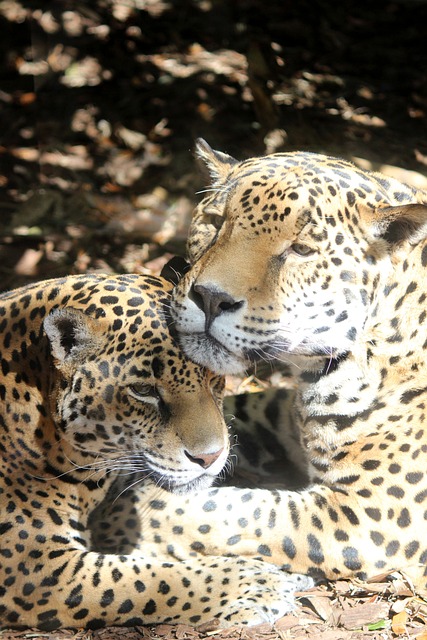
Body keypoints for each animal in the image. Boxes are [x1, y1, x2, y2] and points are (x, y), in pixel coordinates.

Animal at [0, 272, 311, 632]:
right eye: (143, 390)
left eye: (211, 376)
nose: (209, 457)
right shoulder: (35, 567)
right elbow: (149, 580)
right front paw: (257, 584)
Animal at [132, 139, 427, 593]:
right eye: (215, 223)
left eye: (300, 250)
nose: (210, 298)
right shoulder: (283, 416)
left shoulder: (373, 515)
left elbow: (241, 513)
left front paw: (142, 507)